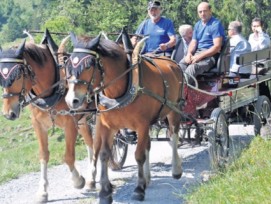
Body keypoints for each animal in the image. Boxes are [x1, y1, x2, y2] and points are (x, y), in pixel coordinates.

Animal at [0, 36, 97, 202]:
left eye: (18, 75)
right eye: (1, 76)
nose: (8, 113)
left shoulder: (70, 124)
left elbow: (68, 157)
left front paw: (77, 180)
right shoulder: (38, 125)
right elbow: (44, 155)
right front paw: (43, 191)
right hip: (82, 120)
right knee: (90, 143)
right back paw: (92, 176)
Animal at [63, 32, 186, 203]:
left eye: (88, 66)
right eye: (68, 65)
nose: (71, 100)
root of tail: (173, 63)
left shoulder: (142, 125)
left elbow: (139, 155)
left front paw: (139, 189)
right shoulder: (107, 126)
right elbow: (104, 154)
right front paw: (105, 192)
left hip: (174, 109)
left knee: (173, 137)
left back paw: (176, 169)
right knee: (149, 144)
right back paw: (147, 177)